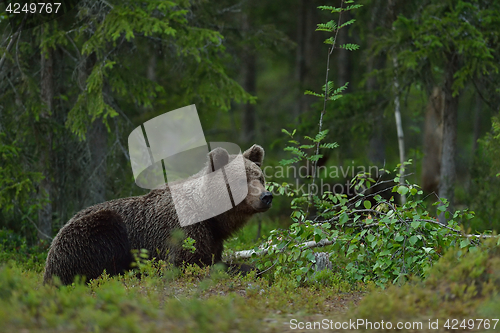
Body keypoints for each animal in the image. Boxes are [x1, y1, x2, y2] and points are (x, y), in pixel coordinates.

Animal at [44, 144, 272, 284]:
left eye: (260, 177)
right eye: (242, 180)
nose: (266, 196)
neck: (211, 216)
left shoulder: (213, 238)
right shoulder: (182, 231)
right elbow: (188, 263)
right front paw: (248, 268)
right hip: (89, 235)